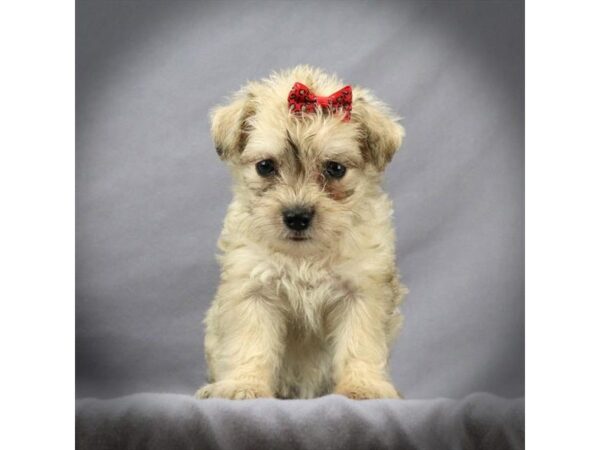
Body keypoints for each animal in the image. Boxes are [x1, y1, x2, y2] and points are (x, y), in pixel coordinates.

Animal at [197, 65, 408, 400]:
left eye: (335, 169)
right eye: (265, 166)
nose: (297, 217)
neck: (305, 258)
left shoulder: (362, 293)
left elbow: (359, 344)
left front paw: (363, 386)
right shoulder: (253, 291)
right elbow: (250, 345)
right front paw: (245, 384)